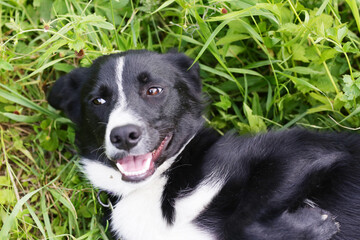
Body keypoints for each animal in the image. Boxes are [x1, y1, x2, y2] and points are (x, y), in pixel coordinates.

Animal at [47, 49, 360, 239]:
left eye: (154, 90)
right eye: (98, 100)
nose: (123, 135)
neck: (150, 190)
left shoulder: (302, 151)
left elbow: (242, 220)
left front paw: (317, 225)